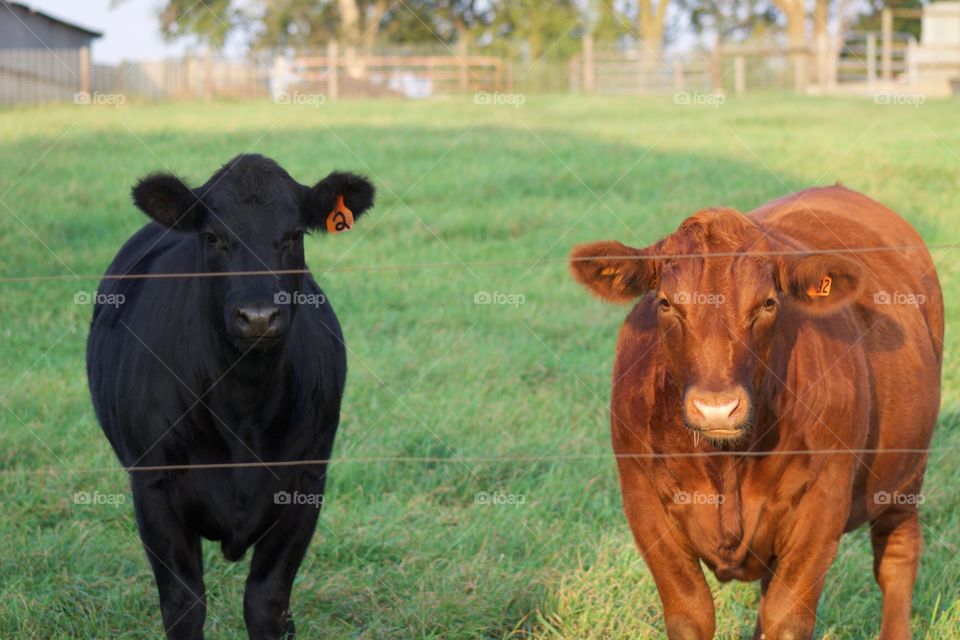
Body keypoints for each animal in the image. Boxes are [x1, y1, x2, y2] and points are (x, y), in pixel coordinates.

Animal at [87, 152, 376, 636]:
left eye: (294, 234)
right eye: (214, 237)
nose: (258, 317)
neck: (244, 406)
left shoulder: (306, 483)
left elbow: (267, 602)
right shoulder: (152, 487)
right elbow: (184, 604)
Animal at [568, 186, 940, 640]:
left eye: (767, 303)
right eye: (666, 303)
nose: (717, 409)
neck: (726, 462)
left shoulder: (820, 510)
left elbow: (788, 617)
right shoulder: (644, 503)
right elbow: (690, 612)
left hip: (905, 477)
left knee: (896, 556)